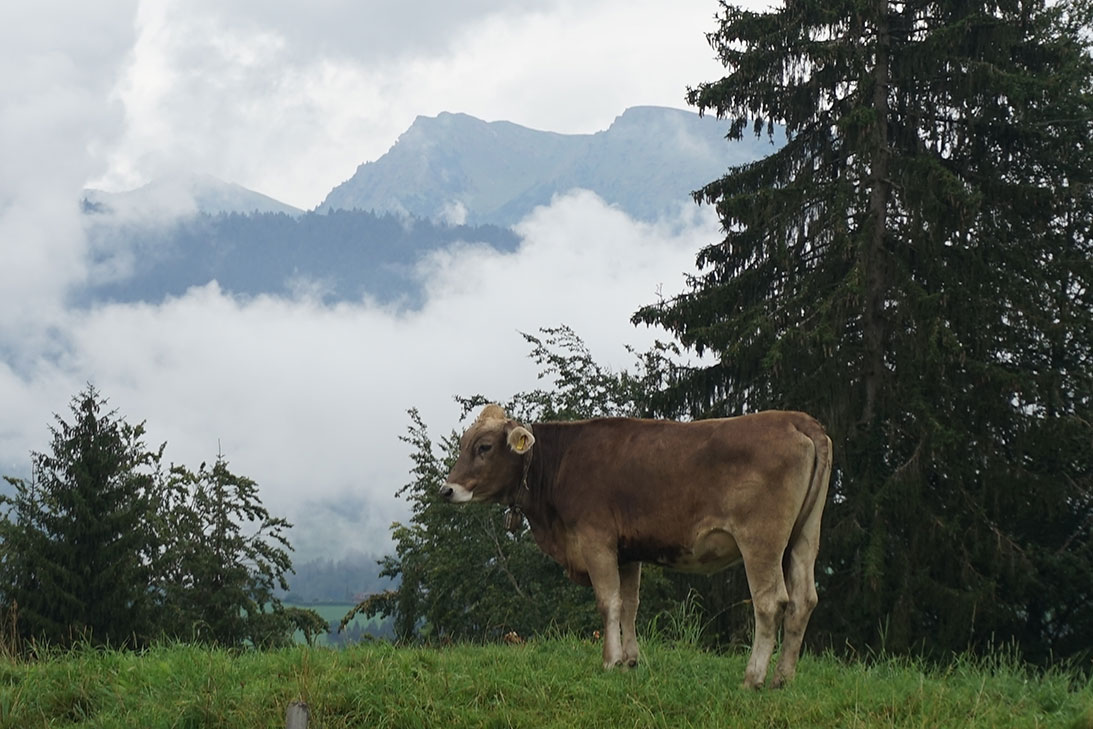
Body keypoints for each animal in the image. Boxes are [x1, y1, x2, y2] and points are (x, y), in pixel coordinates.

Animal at [439, 404, 830, 690]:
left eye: (484, 447)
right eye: (463, 445)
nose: (446, 490)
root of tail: (795, 418)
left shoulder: (596, 539)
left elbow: (608, 602)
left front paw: (610, 661)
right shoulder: (627, 552)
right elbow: (629, 605)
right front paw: (630, 661)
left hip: (761, 539)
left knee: (770, 602)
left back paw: (753, 678)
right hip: (805, 536)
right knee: (803, 601)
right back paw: (782, 678)